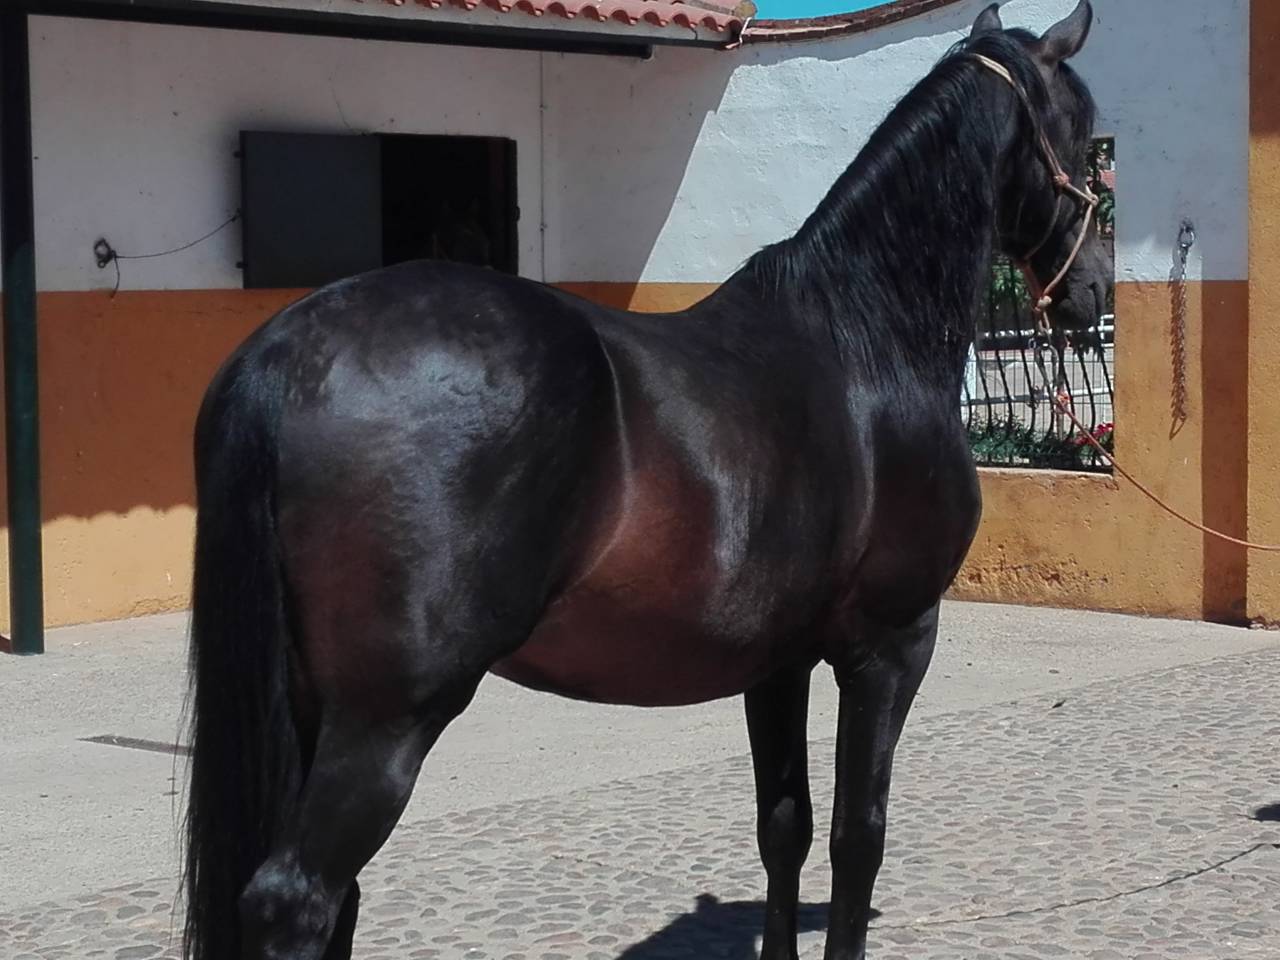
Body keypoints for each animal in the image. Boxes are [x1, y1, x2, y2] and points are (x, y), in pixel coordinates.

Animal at [184, 3, 1109, 958]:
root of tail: (291, 348)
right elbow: (860, 838)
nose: (1092, 290)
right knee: (300, 899)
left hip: (309, 708)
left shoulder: (778, 661)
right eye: (1084, 136)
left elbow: (785, 826)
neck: (863, 344)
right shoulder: (890, 646)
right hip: (386, 717)